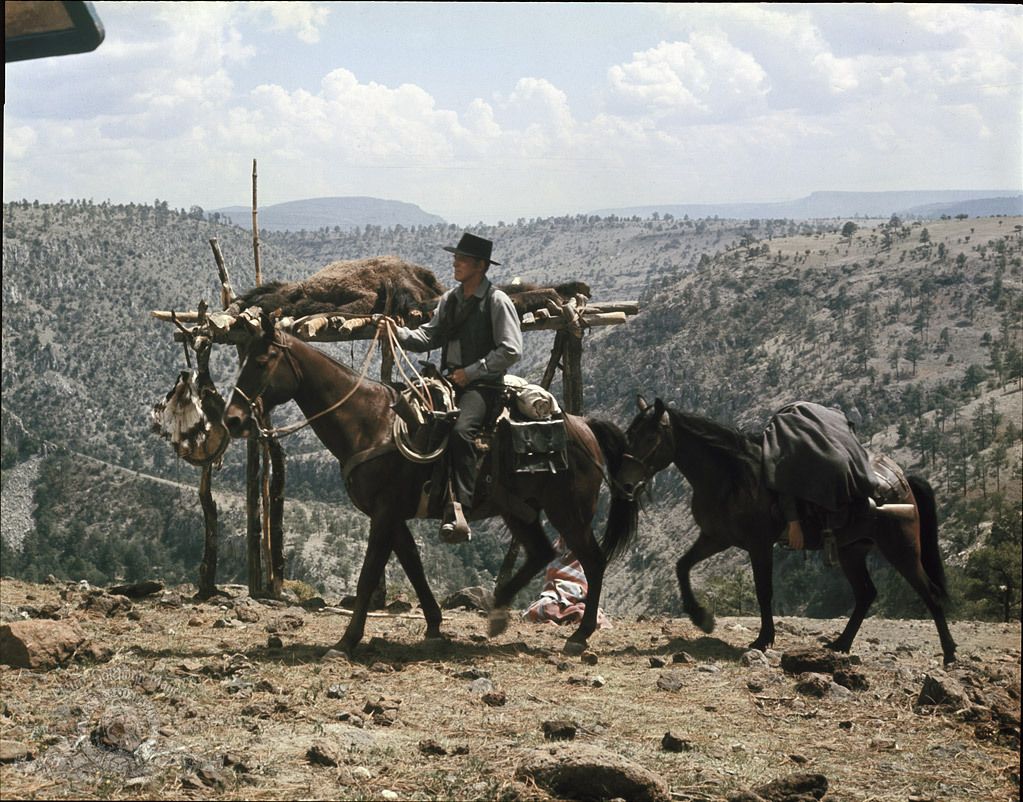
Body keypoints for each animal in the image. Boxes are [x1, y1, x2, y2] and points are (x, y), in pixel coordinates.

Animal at [613, 394, 957, 662]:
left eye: (649, 437)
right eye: (629, 434)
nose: (625, 484)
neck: (731, 477)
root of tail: (902, 478)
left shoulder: (758, 544)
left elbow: (764, 591)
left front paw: (763, 639)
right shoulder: (716, 537)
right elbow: (682, 566)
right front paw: (702, 618)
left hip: (901, 548)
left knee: (929, 593)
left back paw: (950, 654)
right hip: (851, 551)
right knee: (865, 594)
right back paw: (840, 644)